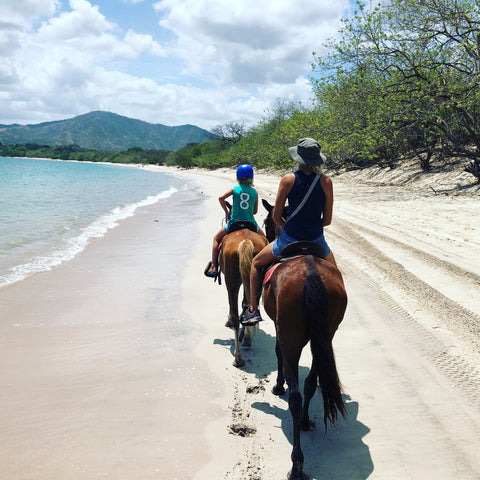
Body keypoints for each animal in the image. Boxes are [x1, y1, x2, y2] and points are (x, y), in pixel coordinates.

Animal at [218, 225, 268, 368]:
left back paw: (238, 357)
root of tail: (245, 241)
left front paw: (229, 320)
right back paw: (246, 339)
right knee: (250, 306)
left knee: (236, 316)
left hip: (231, 282)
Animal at [262, 200, 348, 480]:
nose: (267, 234)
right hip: (325, 337)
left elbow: (277, 353)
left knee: (296, 396)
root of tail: (311, 274)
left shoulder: (279, 328)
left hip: (292, 336)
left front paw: (278, 385)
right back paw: (304, 421)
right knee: (311, 381)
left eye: (266, 221)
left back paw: (297, 464)